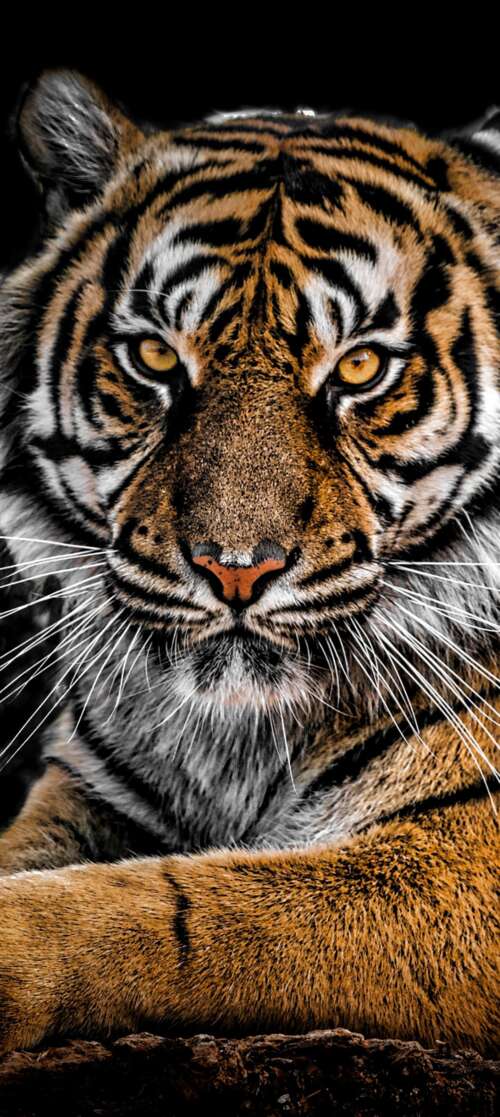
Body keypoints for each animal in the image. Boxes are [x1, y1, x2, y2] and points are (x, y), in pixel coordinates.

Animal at [0, 69, 498, 1057]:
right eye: (155, 355)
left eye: (361, 369)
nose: (235, 568)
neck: (237, 739)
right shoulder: (87, 792)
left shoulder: (464, 855)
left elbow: (191, 906)